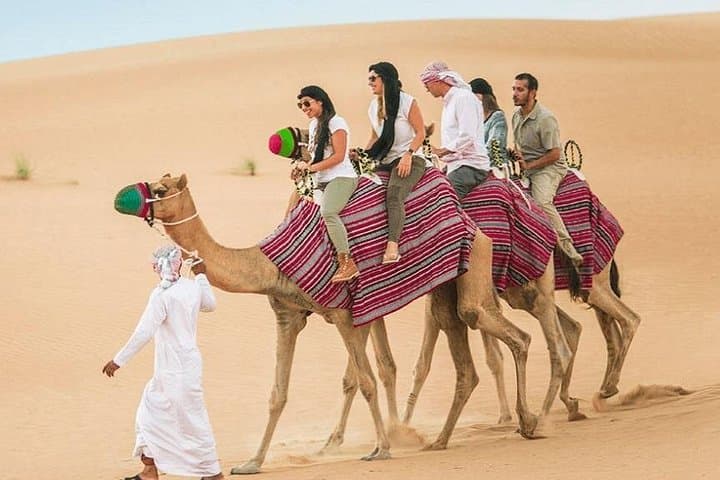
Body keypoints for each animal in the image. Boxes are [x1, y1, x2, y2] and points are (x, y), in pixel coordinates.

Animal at [122, 173, 540, 474]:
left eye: (160, 188)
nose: (125, 197)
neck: (267, 262)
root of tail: (467, 216)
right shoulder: (288, 316)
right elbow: (278, 393)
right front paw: (252, 463)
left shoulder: (343, 314)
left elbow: (366, 381)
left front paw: (381, 448)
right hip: (444, 287)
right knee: (466, 351)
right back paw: (446, 438)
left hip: (475, 263)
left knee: (506, 330)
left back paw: (528, 420)